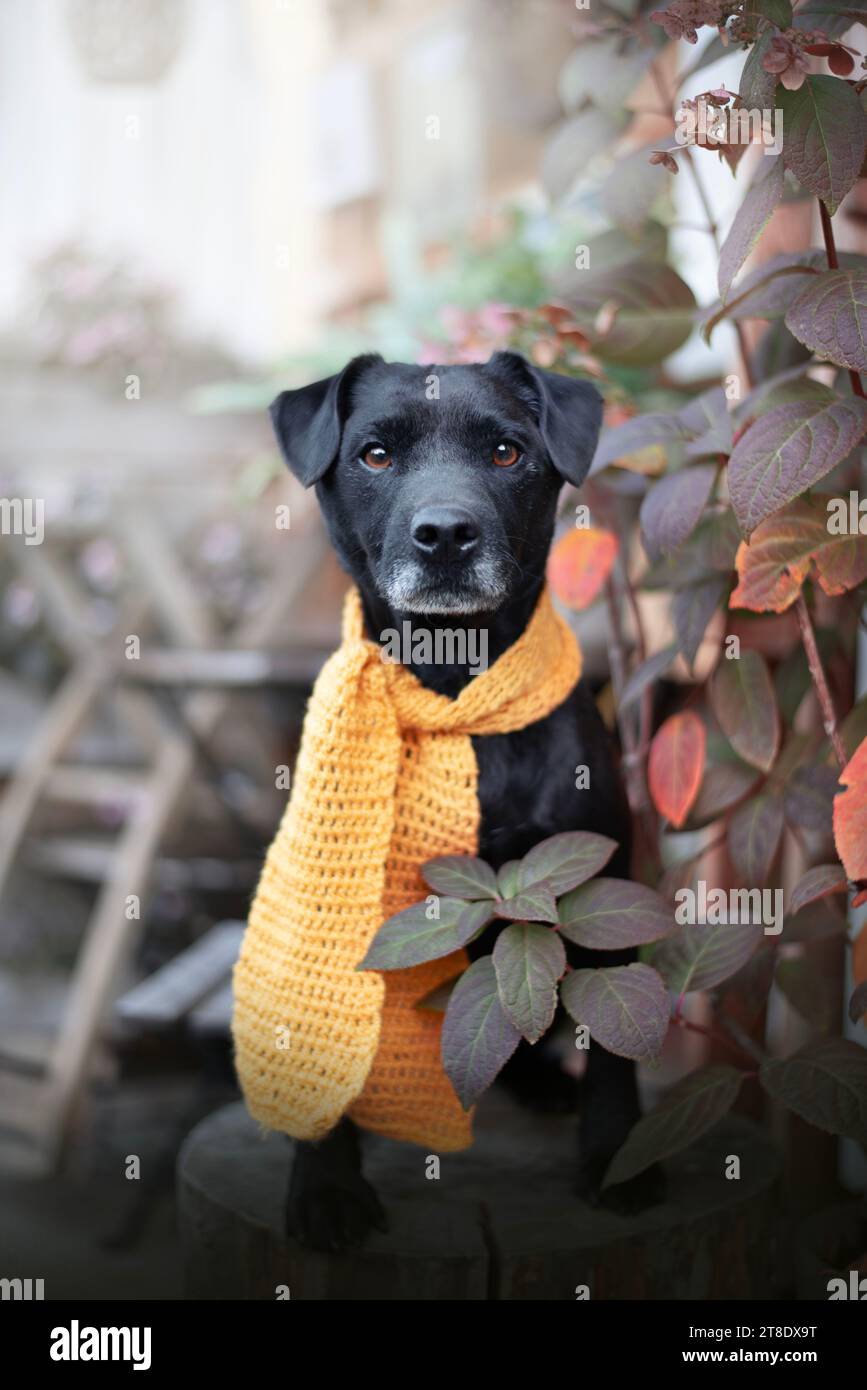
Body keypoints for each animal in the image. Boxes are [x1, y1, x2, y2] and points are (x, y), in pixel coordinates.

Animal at [268, 353, 661, 1256]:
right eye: (375, 454)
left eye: (506, 451)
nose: (444, 534)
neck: (454, 681)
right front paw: (324, 1188)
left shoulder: (600, 885)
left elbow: (613, 1048)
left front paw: (615, 1160)